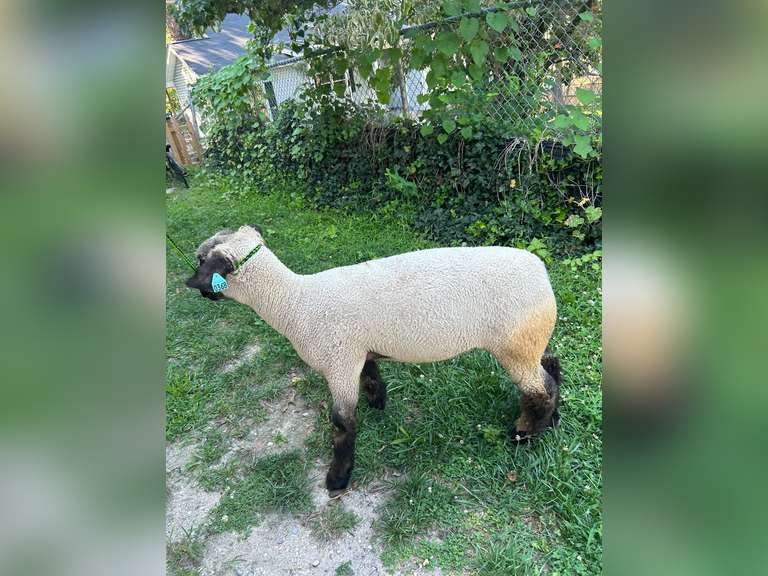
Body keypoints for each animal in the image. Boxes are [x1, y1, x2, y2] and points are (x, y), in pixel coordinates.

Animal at [185, 225, 562, 493]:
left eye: (203, 261)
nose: (192, 285)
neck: (295, 303)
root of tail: (541, 273)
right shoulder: (357, 351)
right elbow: (370, 376)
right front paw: (378, 403)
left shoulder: (338, 362)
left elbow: (341, 423)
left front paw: (337, 479)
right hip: (531, 339)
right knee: (552, 367)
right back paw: (552, 421)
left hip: (514, 344)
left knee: (539, 389)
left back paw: (525, 434)